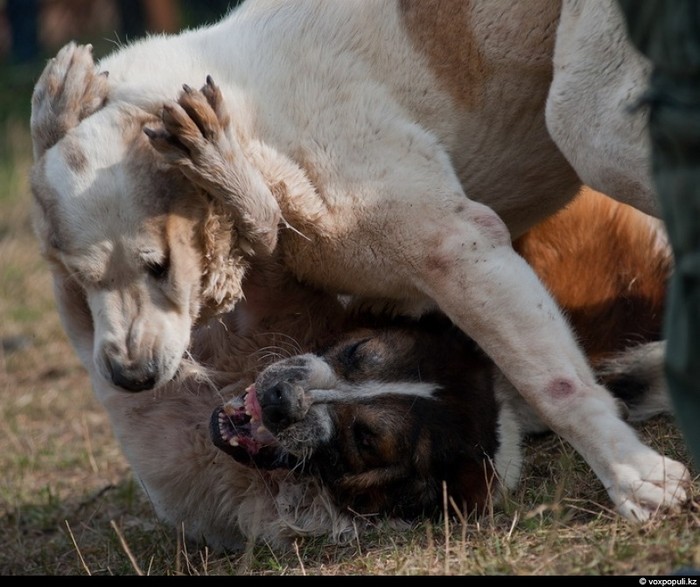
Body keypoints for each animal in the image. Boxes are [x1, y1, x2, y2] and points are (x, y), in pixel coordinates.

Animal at [31, 0, 688, 524]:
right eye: (80, 275)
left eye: (161, 266)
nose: (130, 380)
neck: (257, 129)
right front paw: (58, 104)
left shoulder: (457, 248)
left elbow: (556, 384)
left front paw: (633, 475)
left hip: (591, 125)